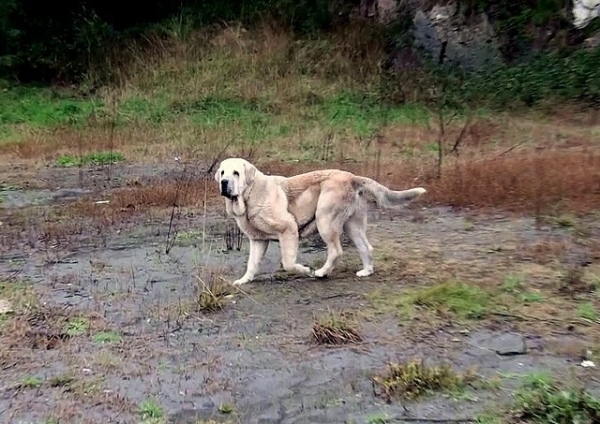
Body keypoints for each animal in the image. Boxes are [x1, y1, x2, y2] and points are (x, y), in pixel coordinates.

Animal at [216, 157, 426, 286]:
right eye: (223, 172)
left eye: (236, 173)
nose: (224, 183)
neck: (249, 195)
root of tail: (352, 177)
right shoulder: (258, 240)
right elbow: (252, 264)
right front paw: (244, 280)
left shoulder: (288, 229)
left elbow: (289, 262)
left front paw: (305, 270)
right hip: (352, 226)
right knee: (366, 248)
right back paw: (366, 271)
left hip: (324, 219)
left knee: (336, 251)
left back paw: (321, 272)